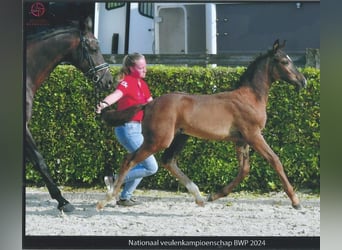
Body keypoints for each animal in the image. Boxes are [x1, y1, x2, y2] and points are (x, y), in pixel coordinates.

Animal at [97, 39, 308, 211]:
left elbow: (244, 170)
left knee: (168, 161)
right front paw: (296, 201)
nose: (303, 81)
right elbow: (275, 161)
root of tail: (149, 104)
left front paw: (214, 195)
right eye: (285, 61)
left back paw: (199, 197)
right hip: (158, 140)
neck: (250, 98)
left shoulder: (241, 140)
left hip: (180, 136)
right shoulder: (254, 135)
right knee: (130, 160)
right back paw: (106, 199)